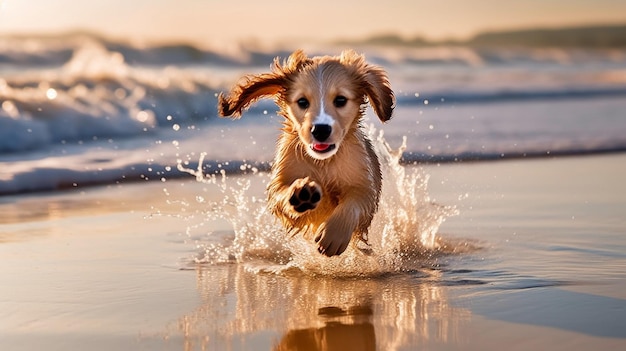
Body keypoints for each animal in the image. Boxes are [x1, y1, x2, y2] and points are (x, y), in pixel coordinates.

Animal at [217, 50, 392, 256]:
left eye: (340, 100)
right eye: (302, 102)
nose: (321, 130)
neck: (323, 162)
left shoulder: (364, 186)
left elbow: (352, 204)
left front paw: (334, 236)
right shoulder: (282, 180)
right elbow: (281, 194)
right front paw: (302, 193)